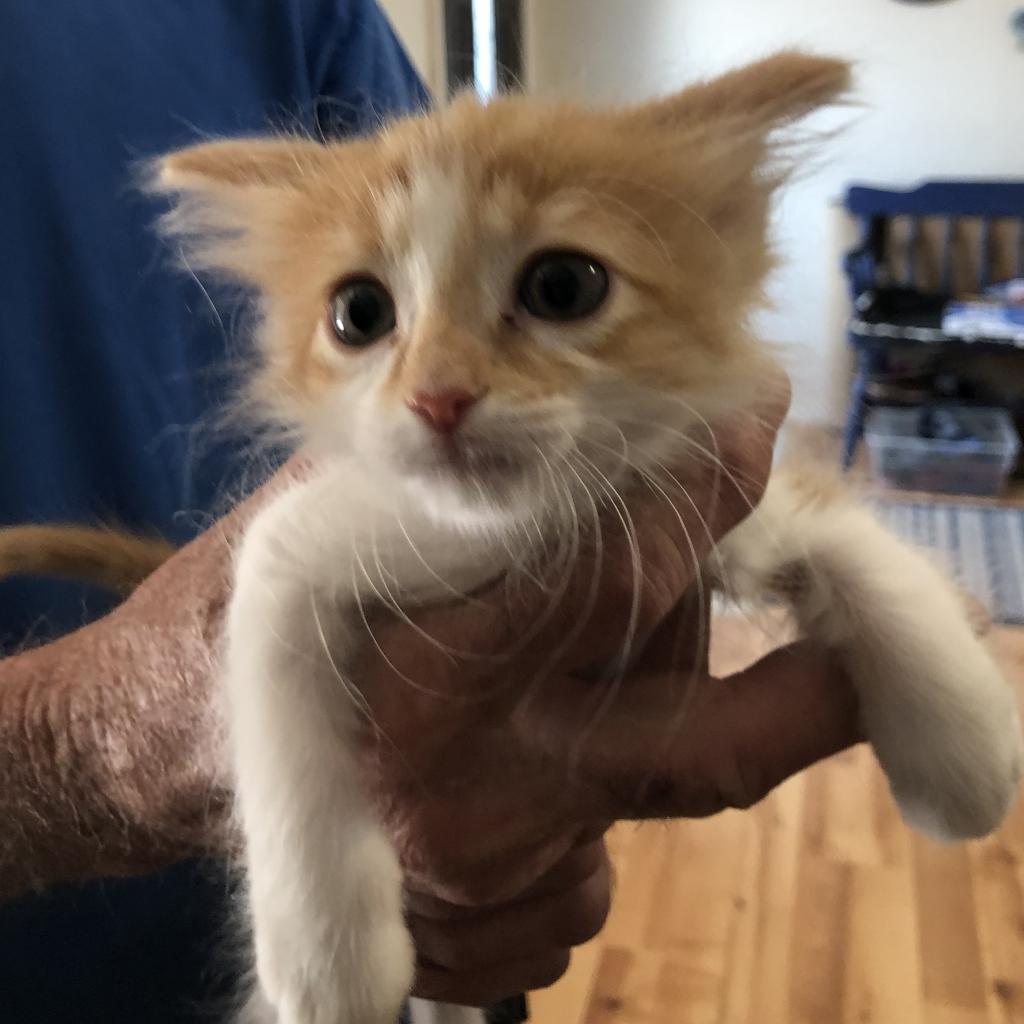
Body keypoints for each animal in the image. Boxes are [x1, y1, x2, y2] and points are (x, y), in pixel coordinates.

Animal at [4, 54, 1019, 1024]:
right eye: (359, 314)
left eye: (563, 286)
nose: (438, 396)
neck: (519, 524)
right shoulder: (311, 533)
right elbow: (276, 663)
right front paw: (325, 955)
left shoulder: (728, 482)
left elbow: (866, 557)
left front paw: (965, 749)